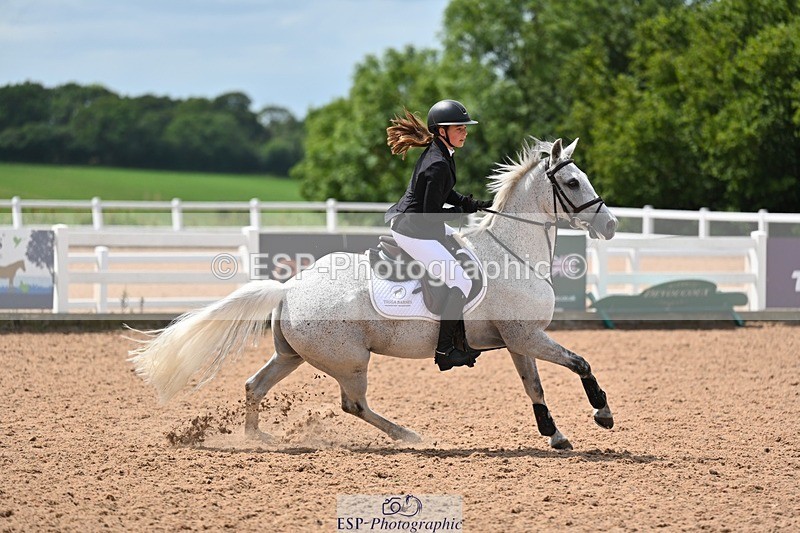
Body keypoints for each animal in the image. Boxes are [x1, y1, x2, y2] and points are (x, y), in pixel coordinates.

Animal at [130, 137, 618, 450]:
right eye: (572, 183)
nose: (610, 225)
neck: (513, 251)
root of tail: (287, 289)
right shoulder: (528, 336)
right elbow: (581, 364)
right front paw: (602, 414)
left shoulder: (519, 341)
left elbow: (534, 386)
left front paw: (556, 435)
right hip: (349, 361)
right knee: (354, 404)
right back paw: (410, 436)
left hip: (292, 355)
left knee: (255, 385)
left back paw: (257, 440)